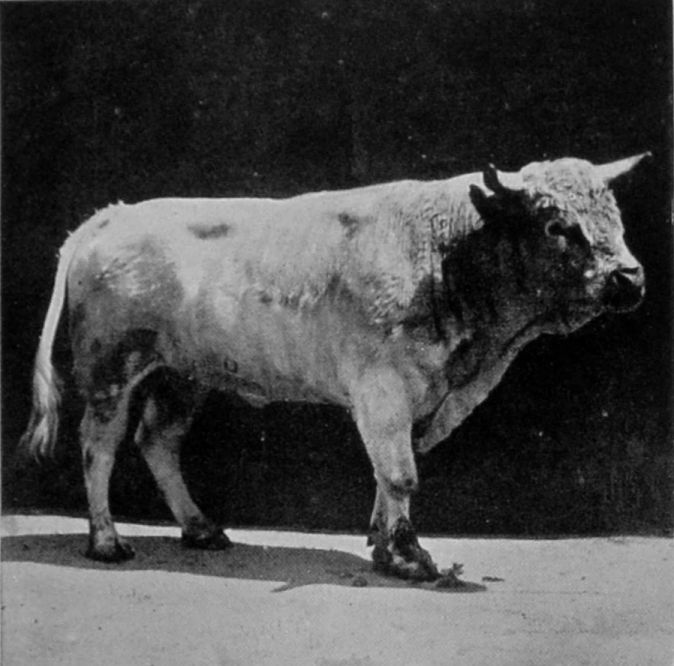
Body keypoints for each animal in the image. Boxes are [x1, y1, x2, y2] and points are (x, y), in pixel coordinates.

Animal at [20, 153, 648, 581]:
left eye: (615, 215)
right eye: (556, 225)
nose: (629, 277)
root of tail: (108, 217)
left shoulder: (414, 399)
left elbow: (387, 471)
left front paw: (384, 547)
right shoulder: (383, 389)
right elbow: (399, 473)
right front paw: (411, 556)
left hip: (182, 376)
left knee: (158, 441)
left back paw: (202, 529)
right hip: (110, 370)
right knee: (99, 445)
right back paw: (107, 542)